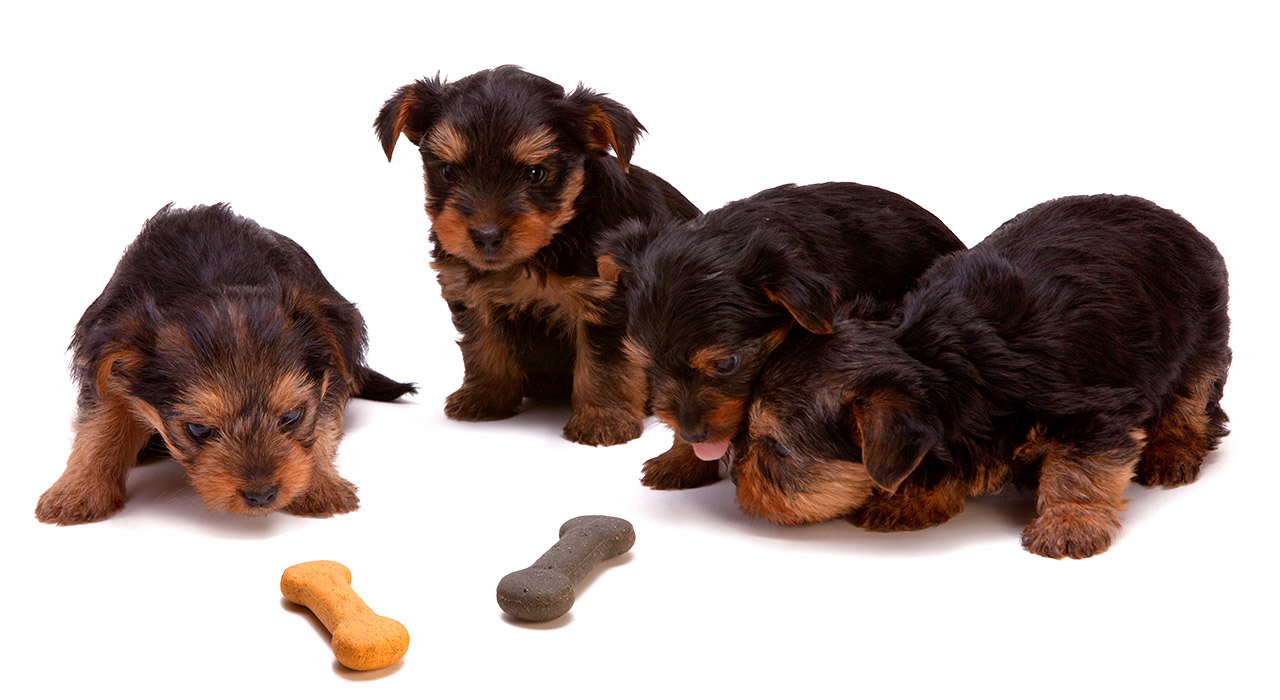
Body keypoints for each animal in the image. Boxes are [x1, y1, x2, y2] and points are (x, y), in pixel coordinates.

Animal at [36, 202, 414, 527]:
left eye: (292, 416)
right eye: (198, 430)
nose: (261, 496)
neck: (212, 278)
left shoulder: (330, 369)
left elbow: (322, 424)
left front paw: (320, 484)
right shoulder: (108, 358)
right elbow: (98, 425)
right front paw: (78, 490)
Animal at [373, 68, 701, 445]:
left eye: (535, 173)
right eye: (448, 171)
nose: (486, 236)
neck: (544, 248)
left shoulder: (606, 299)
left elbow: (605, 362)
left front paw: (603, 418)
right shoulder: (469, 291)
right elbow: (482, 345)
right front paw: (485, 397)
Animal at [742, 194, 1228, 560]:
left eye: (778, 451)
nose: (738, 475)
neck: (934, 354)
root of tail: (1173, 216)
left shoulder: (1098, 411)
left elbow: (1080, 468)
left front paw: (1069, 523)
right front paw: (910, 499)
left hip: (1203, 331)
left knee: (1193, 397)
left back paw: (1172, 451)